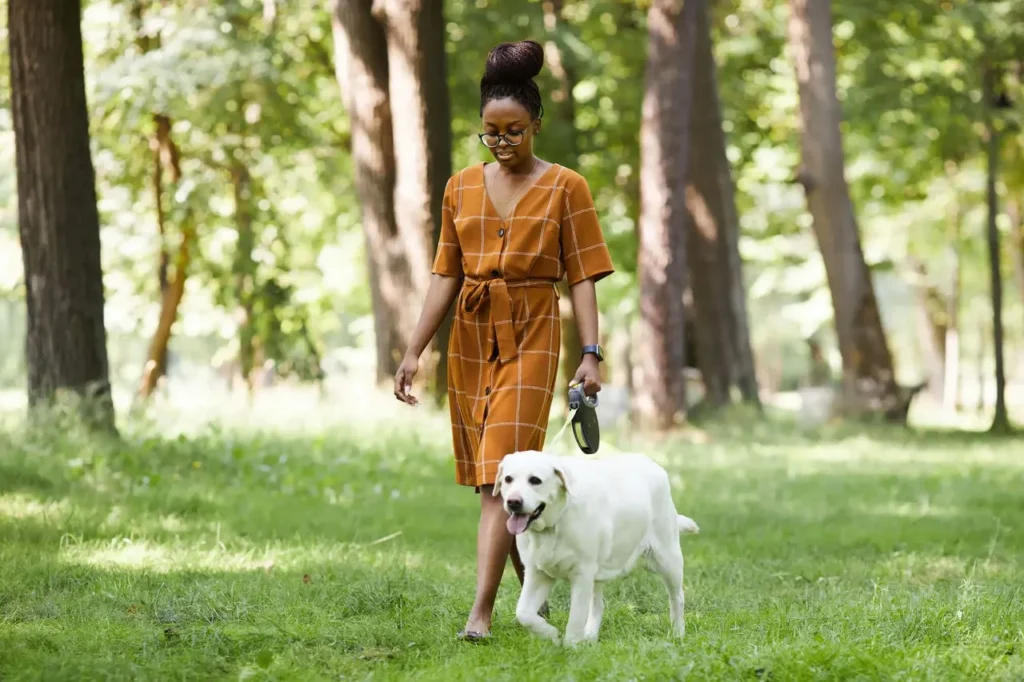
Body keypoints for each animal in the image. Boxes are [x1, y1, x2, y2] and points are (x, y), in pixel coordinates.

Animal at [493, 448, 700, 647]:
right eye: (508, 479)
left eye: (535, 480)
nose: (513, 502)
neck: (554, 524)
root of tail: (652, 463)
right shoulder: (538, 573)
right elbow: (523, 613)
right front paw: (550, 633)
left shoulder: (582, 574)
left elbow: (575, 619)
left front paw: (570, 647)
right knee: (598, 605)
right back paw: (590, 636)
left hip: (668, 560)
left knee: (677, 598)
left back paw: (678, 634)